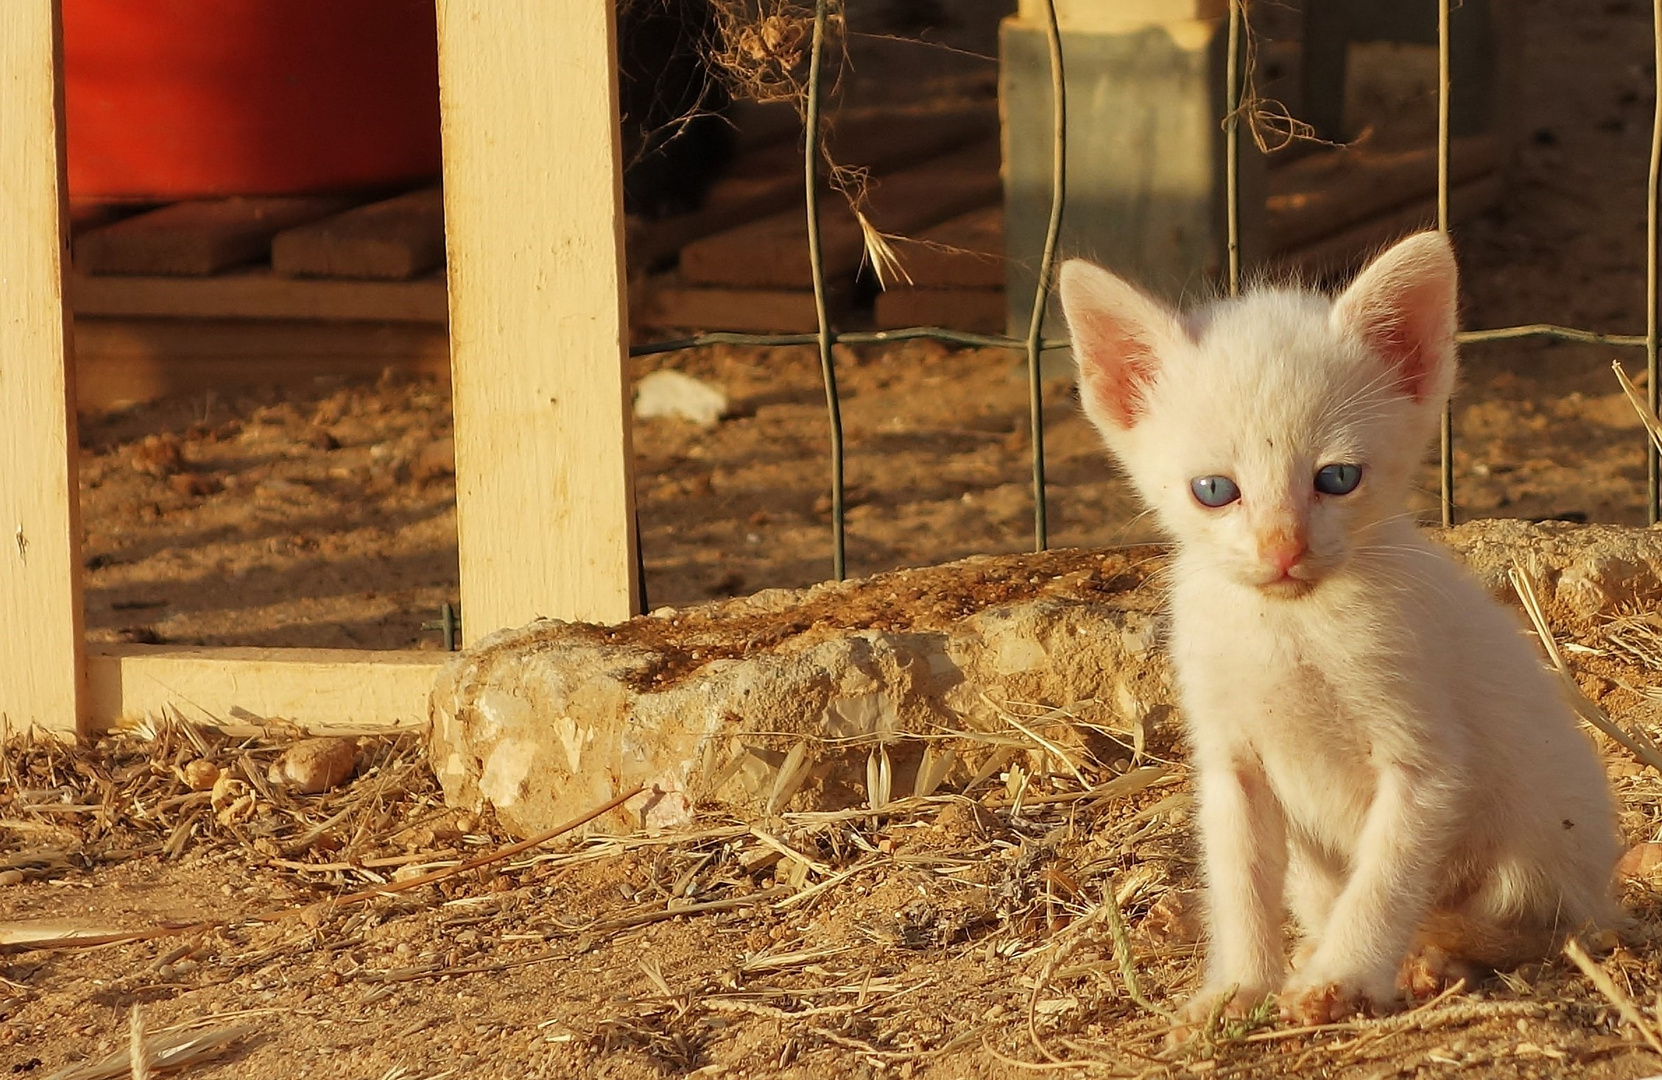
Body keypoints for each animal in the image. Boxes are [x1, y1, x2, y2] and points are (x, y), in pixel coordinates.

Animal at [1063, 230, 1622, 1023]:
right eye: (1214, 490)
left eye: (1336, 479)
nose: (1282, 549)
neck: (1289, 626)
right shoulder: (1232, 764)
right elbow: (1240, 883)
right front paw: (1239, 986)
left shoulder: (1427, 762)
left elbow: (1384, 880)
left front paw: (1345, 975)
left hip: (1539, 859)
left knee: (1538, 927)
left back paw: (1435, 956)